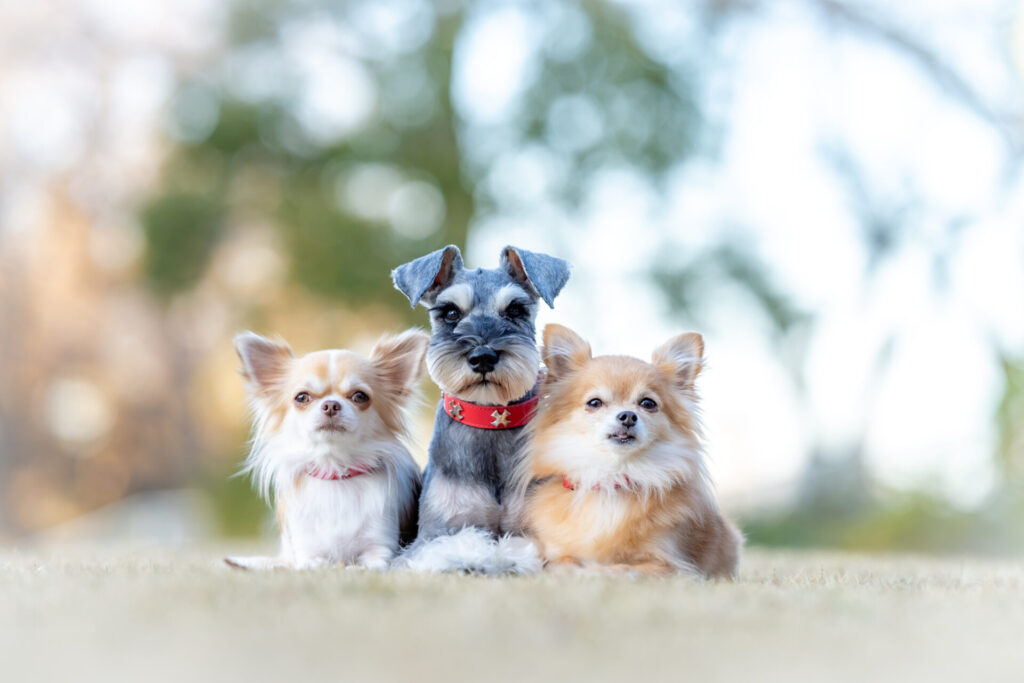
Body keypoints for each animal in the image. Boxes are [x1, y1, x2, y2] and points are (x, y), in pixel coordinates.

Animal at [389, 242, 573, 573]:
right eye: (450, 312)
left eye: (515, 310)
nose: (483, 357)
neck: (491, 419)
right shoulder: (430, 537)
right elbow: (450, 545)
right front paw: (477, 555)